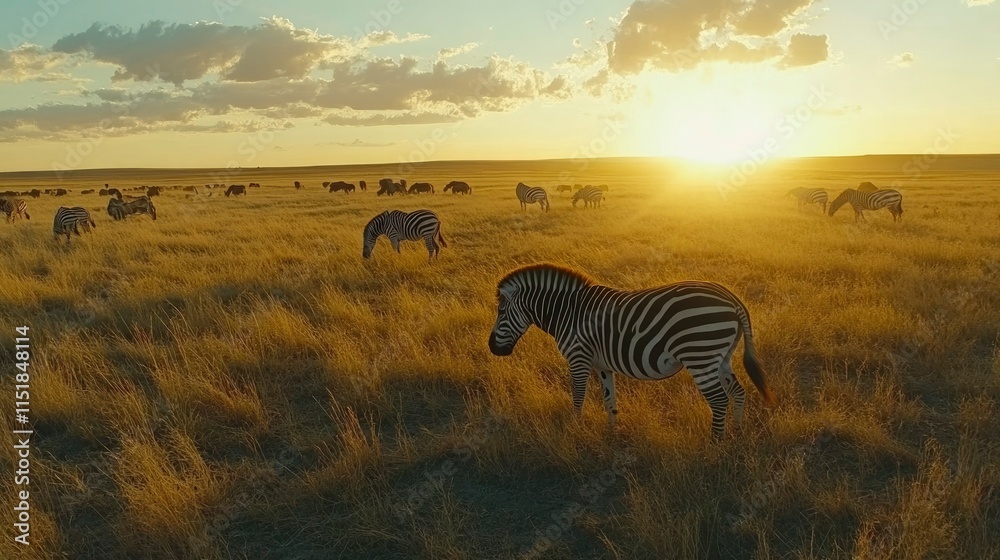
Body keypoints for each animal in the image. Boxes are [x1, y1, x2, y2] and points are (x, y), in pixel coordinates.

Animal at [488, 264, 777, 440]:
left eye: (500, 312)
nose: (492, 348)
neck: (569, 312)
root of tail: (732, 299)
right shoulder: (602, 364)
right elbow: (609, 400)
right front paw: (611, 433)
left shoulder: (579, 358)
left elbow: (578, 397)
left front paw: (575, 429)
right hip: (721, 357)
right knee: (738, 392)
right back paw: (737, 434)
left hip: (700, 356)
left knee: (718, 400)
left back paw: (715, 445)